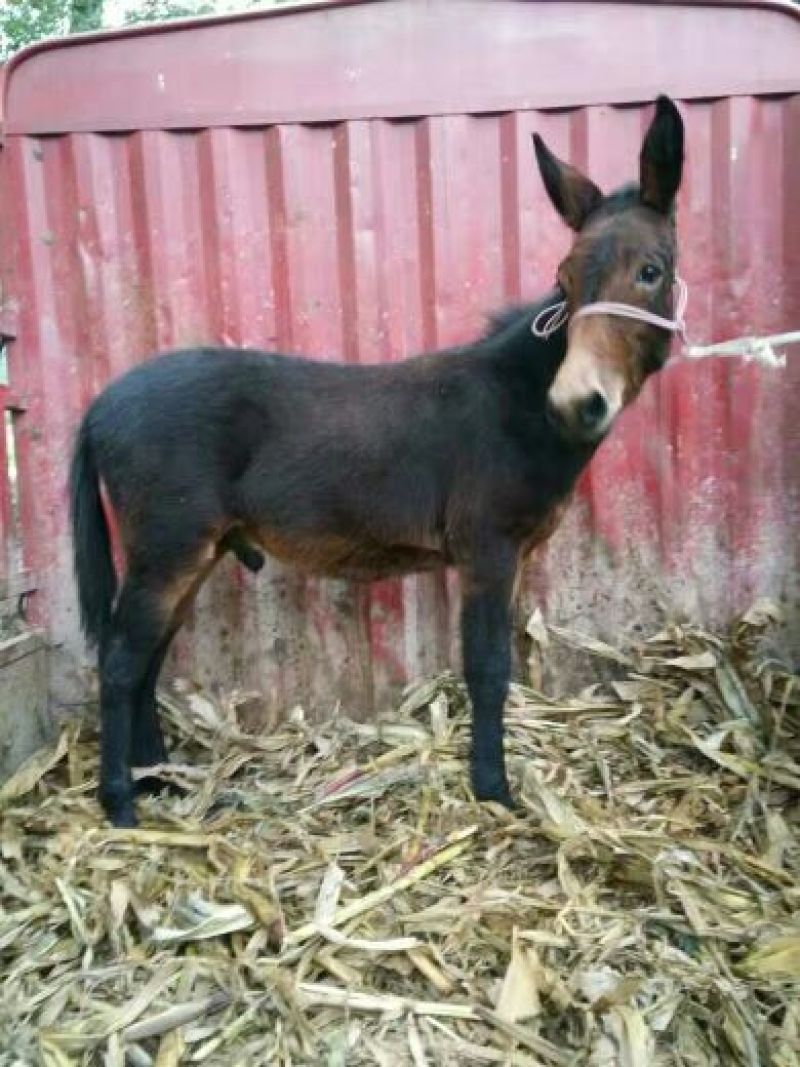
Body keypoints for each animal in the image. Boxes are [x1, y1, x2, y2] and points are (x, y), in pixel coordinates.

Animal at [70, 96, 685, 827]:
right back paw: (121, 805)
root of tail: (100, 402)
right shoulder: (488, 548)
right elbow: (488, 668)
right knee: (119, 662)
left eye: (650, 272)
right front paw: (493, 789)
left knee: (148, 658)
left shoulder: (512, 554)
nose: (575, 403)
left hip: (191, 552)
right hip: (168, 548)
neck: (522, 401)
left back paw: (159, 781)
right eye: (562, 282)